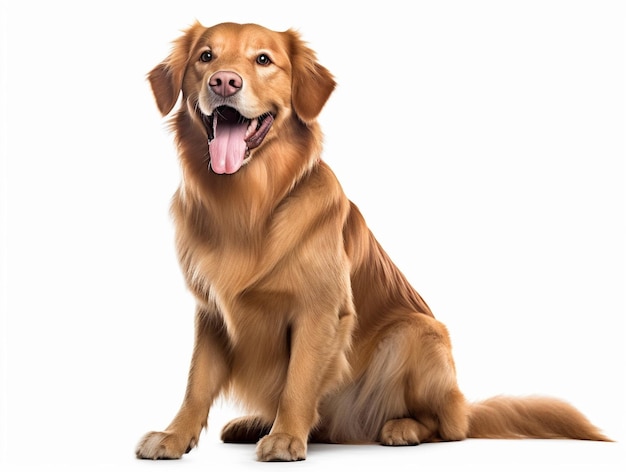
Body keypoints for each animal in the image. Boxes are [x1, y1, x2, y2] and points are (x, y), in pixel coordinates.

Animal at [134, 21, 608, 460]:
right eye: (206, 57)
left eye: (263, 60)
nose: (224, 82)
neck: (248, 205)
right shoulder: (211, 312)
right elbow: (197, 382)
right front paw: (175, 436)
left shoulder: (321, 310)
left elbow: (298, 380)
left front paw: (286, 438)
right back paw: (257, 423)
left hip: (418, 333)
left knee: (447, 426)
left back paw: (401, 428)